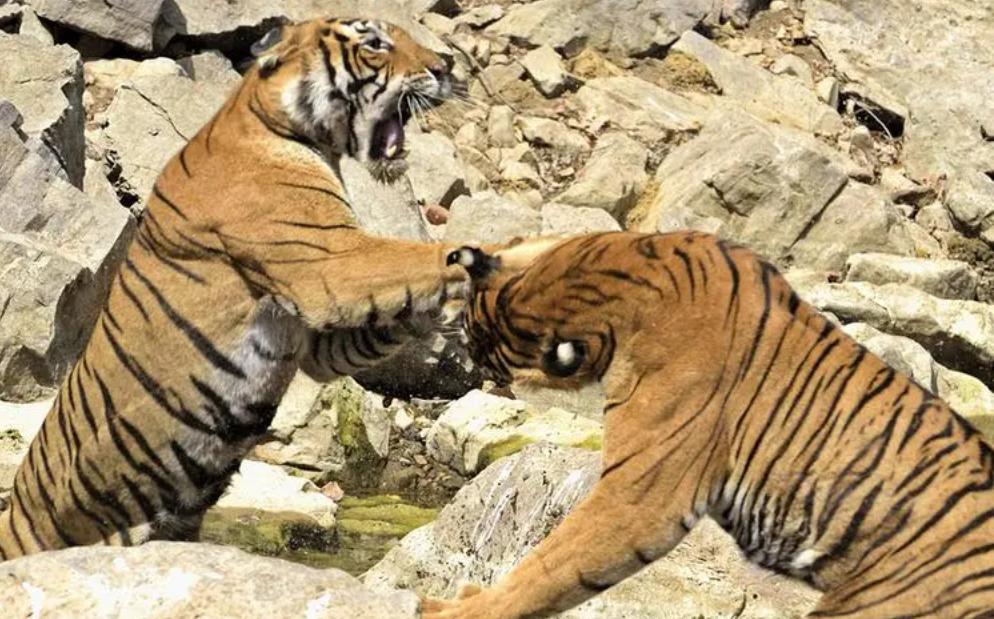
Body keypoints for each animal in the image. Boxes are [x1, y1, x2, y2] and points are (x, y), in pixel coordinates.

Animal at [0, 17, 501, 559]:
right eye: (375, 44)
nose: (445, 66)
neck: (282, 125)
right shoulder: (329, 264)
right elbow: (420, 257)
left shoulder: (318, 340)